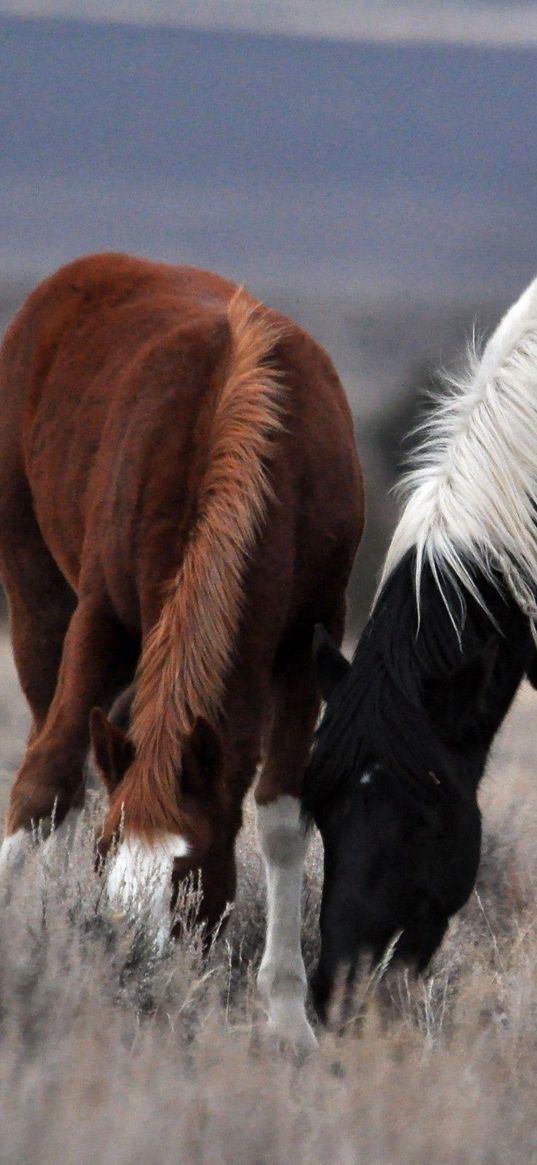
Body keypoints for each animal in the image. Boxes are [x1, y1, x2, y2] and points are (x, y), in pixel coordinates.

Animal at [0, 248, 361, 1048]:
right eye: (107, 858)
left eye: (190, 879)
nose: (133, 971)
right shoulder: (101, 615)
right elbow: (46, 776)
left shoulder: (307, 636)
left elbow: (282, 814)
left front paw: (286, 1014)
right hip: (35, 592)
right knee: (51, 741)